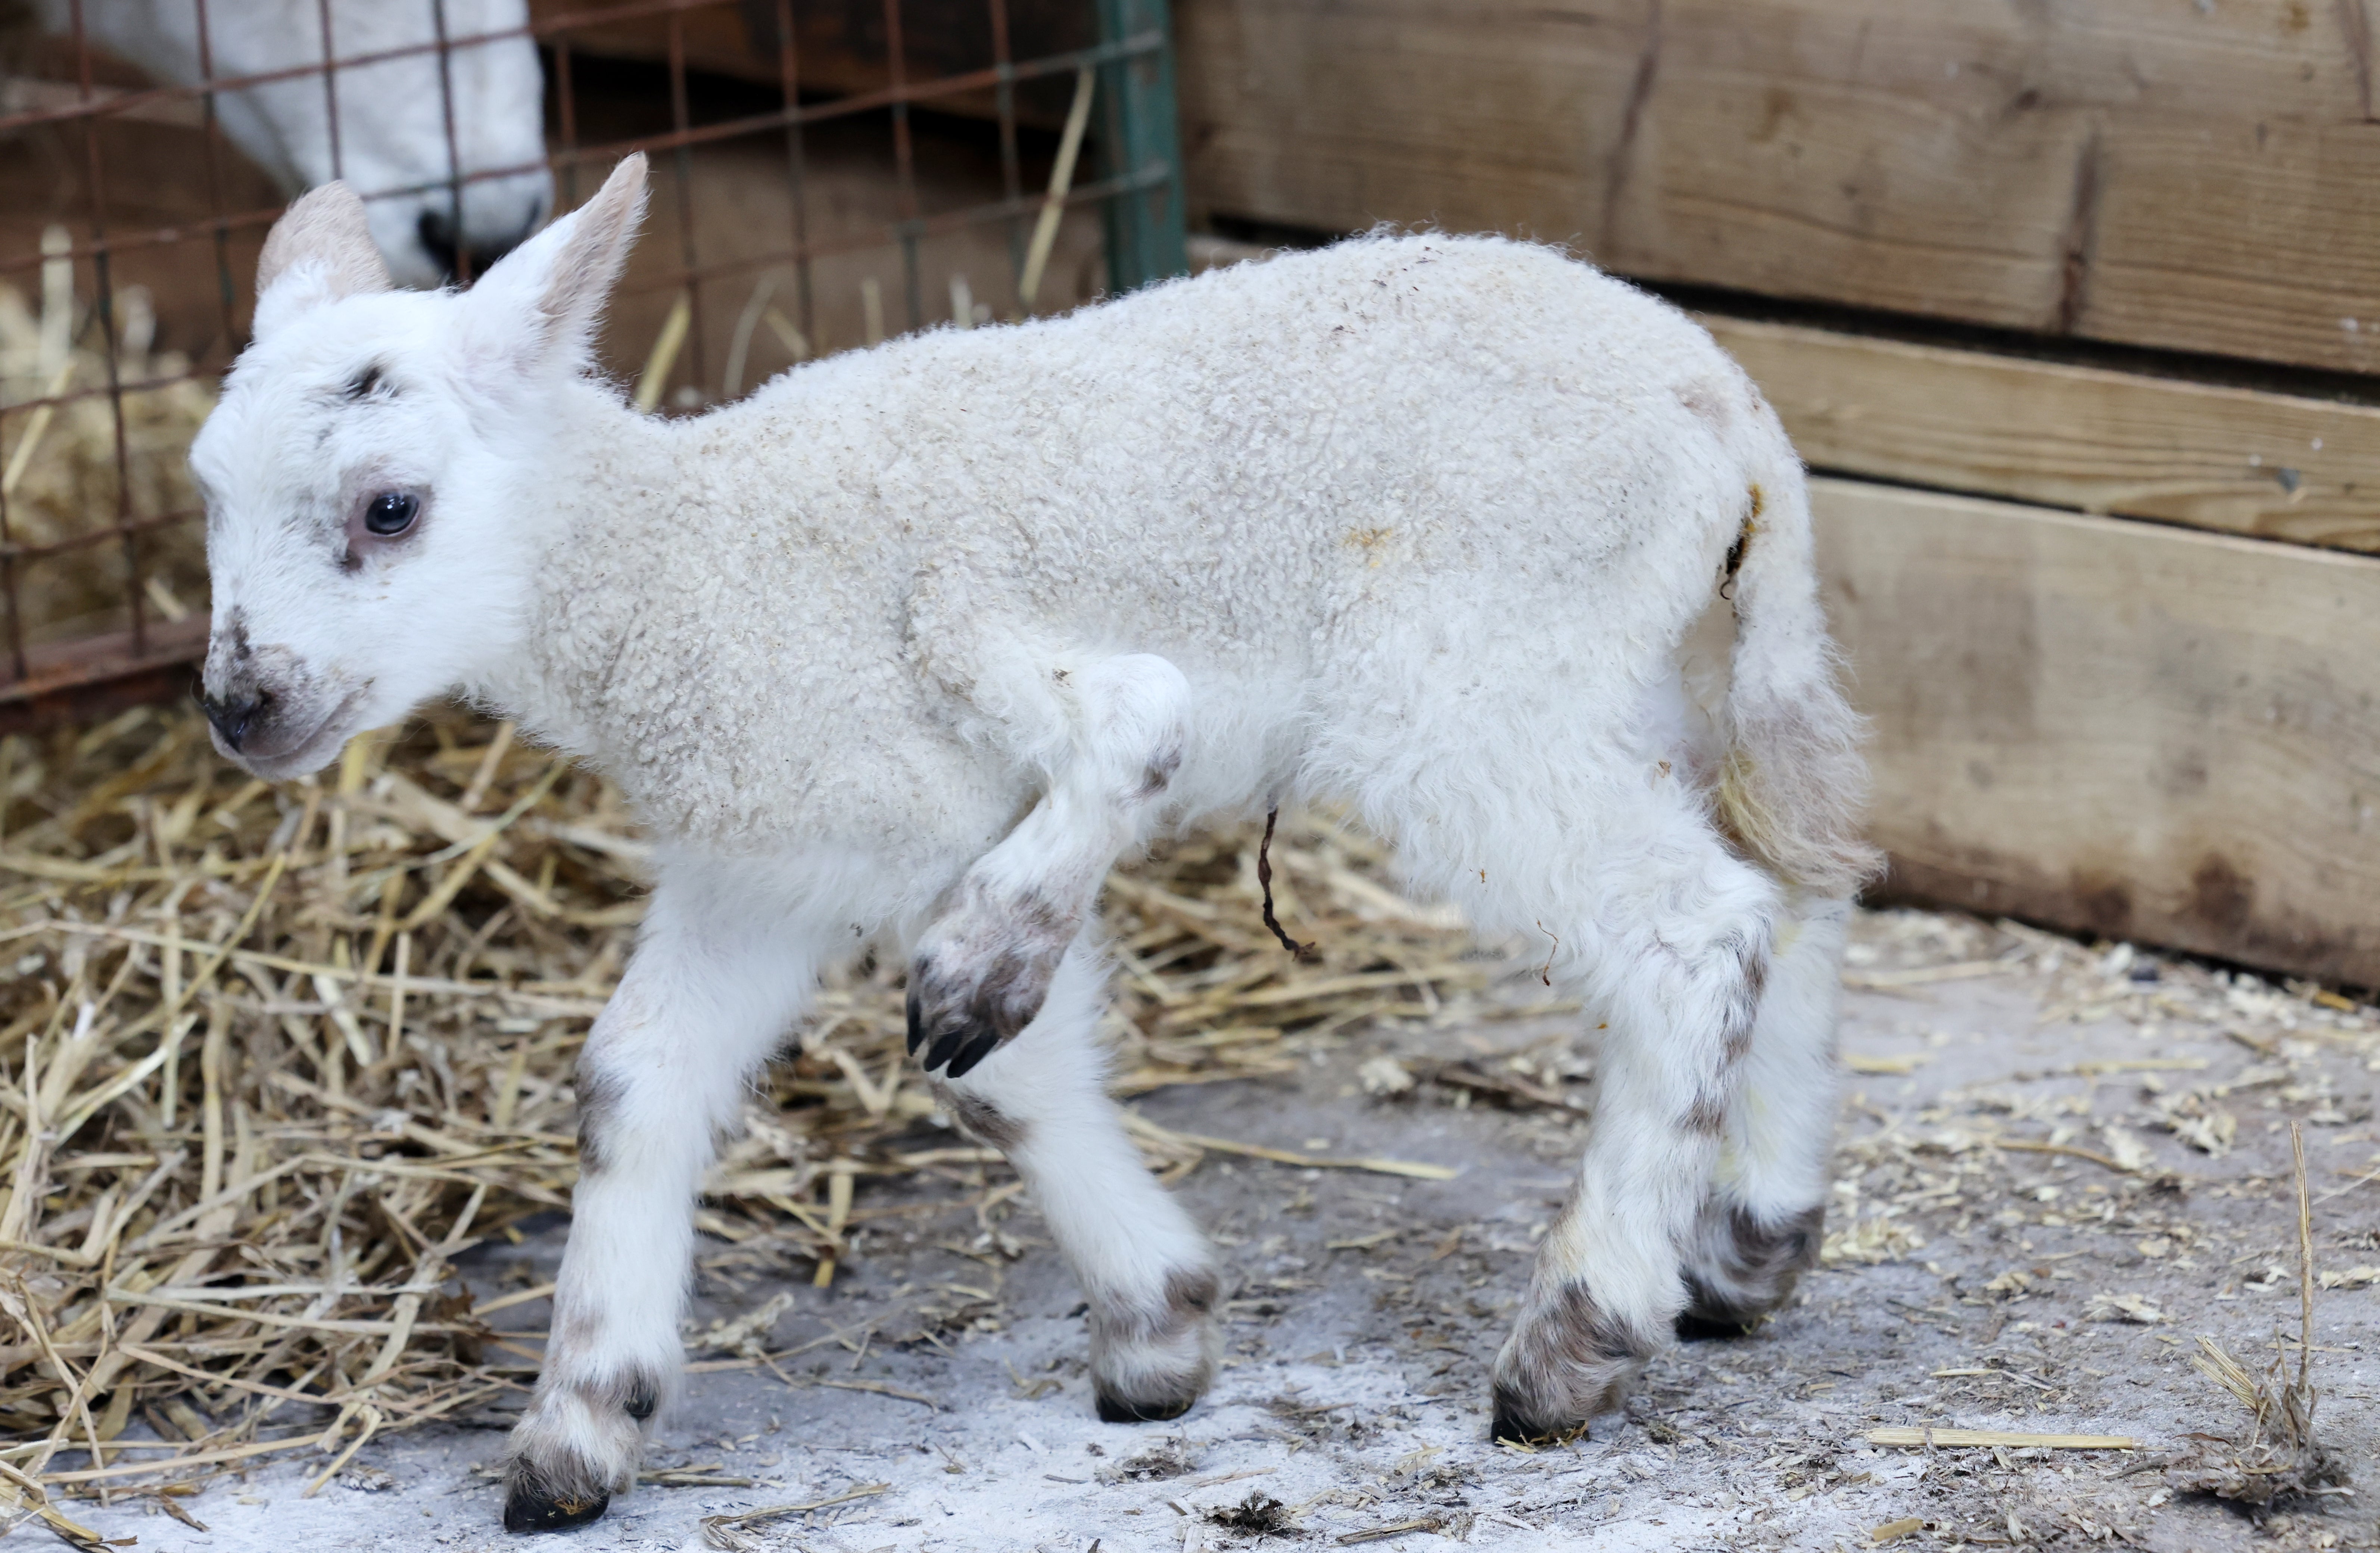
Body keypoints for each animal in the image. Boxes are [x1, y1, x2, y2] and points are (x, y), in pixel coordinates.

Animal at [186, 152, 1875, 1534]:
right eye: (207, 500)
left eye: (390, 508)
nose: (238, 704)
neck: (691, 563)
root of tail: (1731, 411)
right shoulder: (764, 861)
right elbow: (637, 1083)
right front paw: (578, 1429)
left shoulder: (943, 739)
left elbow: (1090, 833)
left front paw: (1123, 1269)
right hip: (1656, 671)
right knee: (1793, 887)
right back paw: (1749, 1240)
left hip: (1474, 684)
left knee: (1693, 928)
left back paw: (1574, 1337)